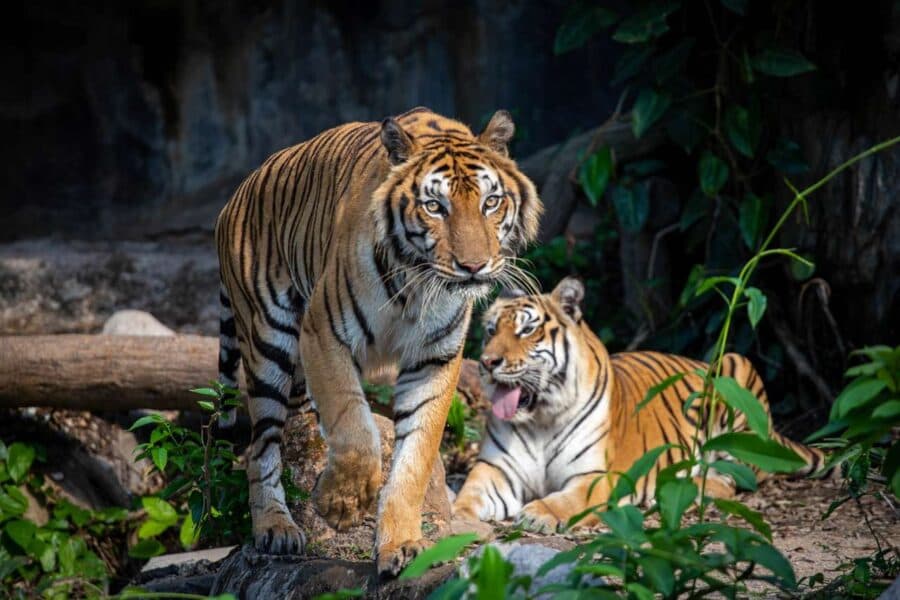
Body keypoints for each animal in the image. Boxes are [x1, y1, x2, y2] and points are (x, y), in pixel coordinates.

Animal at [215, 107, 541, 575]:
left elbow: (414, 458)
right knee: (260, 447)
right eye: (434, 207)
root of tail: (234, 197)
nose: (474, 266)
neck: (417, 286)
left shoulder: (433, 360)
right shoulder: (323, 333)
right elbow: (354, 427)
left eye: (490, 202)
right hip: (267, 344)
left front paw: (399, 544)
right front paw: (342, 505)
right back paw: (276, 528)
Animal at [452, 277, 825, 533]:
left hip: (735, 369)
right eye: (490, 330)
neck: (541, 416)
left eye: (526, 330)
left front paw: (537, 514)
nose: (487, 363)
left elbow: (565, 500)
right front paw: (456, 518)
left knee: (732, 478)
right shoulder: (497, 469)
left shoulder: (592, 477)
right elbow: (470, 493)